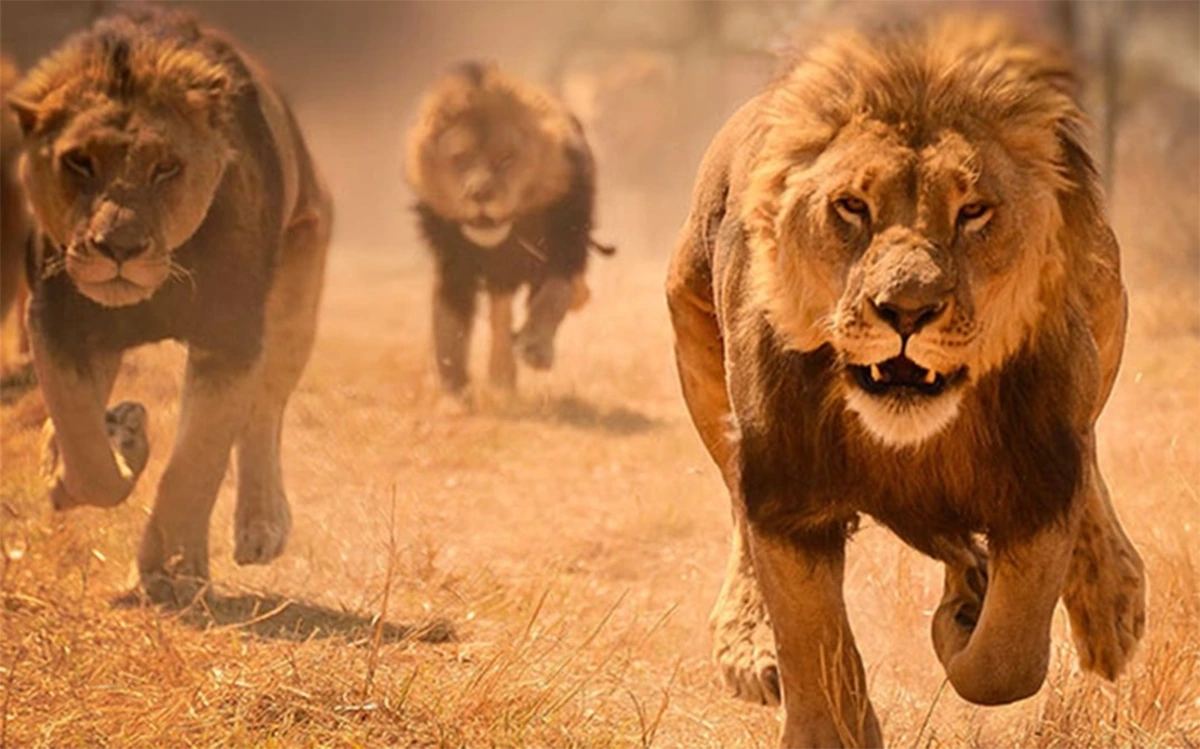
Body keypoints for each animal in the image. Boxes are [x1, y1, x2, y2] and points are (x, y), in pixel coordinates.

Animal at [8, 6, 333, 604]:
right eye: (79, 163)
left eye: (165, 168)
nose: (119, 249)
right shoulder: (56, 324)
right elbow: (84, 446)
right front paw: (120, 442)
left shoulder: (230, 340)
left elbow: (195, 462)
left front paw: (172, 574)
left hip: (298, 289)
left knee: (264, 413)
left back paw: (261, 526)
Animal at [405, 61, 610, 397]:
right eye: (460, 159)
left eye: (506, 159)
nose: (480, 194)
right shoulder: (454, 265)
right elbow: (449, 325)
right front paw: (453, 389)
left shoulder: (565, 248)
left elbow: (555, 295)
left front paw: (536, 347)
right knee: (499, 314)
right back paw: (501, 377)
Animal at [666, 17, 1146, 747]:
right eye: (851, 207)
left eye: (973, 211)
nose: (907, 310)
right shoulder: (784, 492)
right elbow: (816, 651)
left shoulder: (1040, 477)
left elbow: (1006, 660)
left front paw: (964, 620)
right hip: (694, 344)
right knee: (736, 511)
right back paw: (752, 647)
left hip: (1104, 316)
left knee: (1088, 459)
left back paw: (1107, 602)